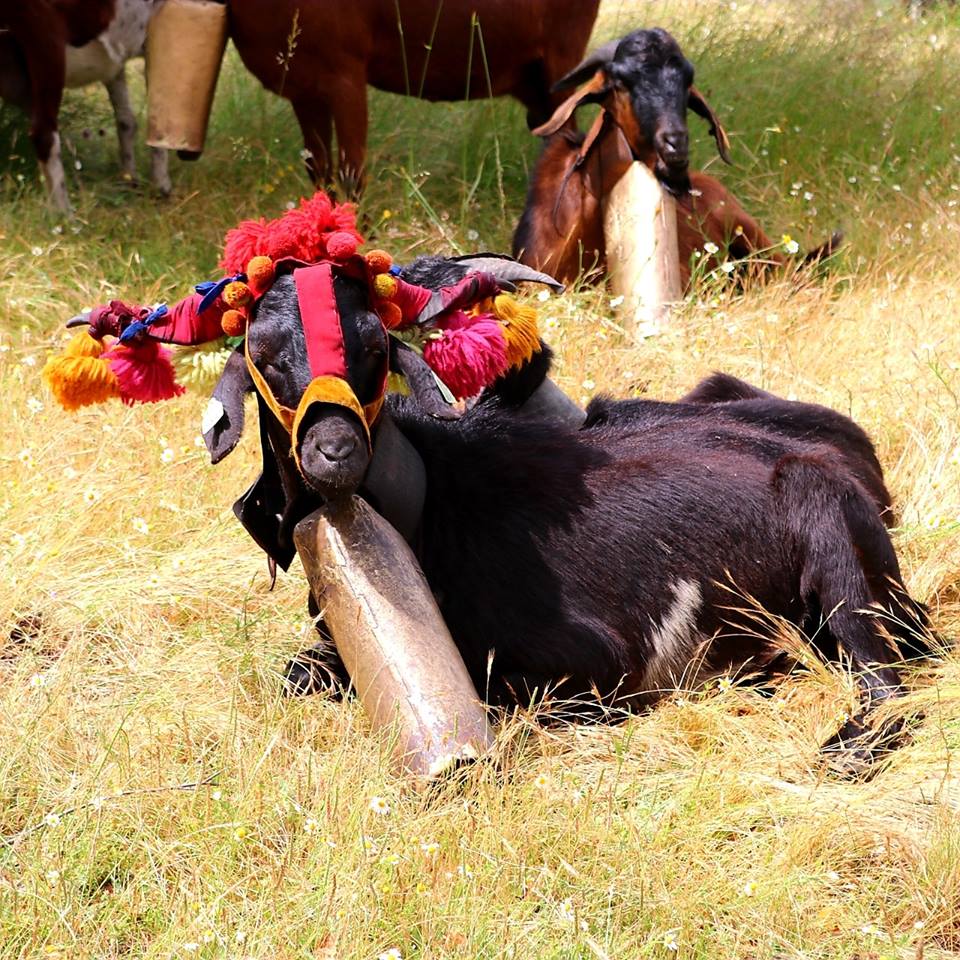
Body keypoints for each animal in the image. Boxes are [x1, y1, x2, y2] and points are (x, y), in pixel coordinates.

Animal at [0, 0, 169, 212]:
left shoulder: (114, 64)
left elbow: (126, 121)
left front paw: (130, 181)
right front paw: (161, 188)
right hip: (46, 43)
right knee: (44, 134)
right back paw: (65, 214)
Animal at [180, 252, 932, 775]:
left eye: (373, 344)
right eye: (264, 353)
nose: (334, 450)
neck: (436, 500)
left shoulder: (597, 665)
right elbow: (298, 675)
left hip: (838, 557)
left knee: (888, 686)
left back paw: (835, 746)